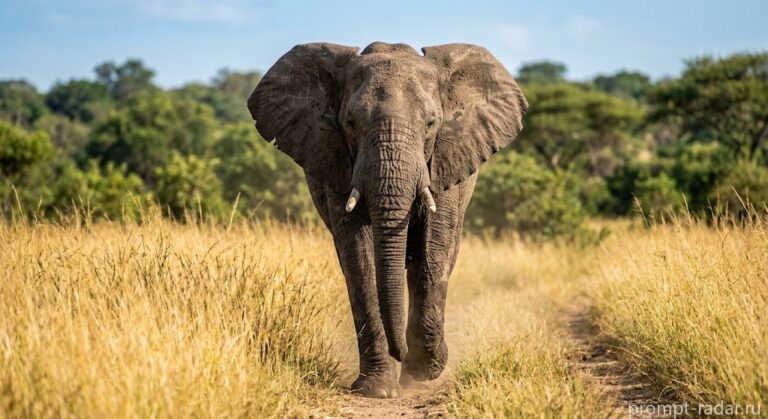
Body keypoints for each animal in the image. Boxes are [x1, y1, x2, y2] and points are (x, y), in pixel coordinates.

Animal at [247, 42, 527, 398]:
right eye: (350, 122)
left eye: (431, 123)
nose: (401, 354)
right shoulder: (337, 164)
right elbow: (358, 258)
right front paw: (378, 388)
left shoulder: (445, 160)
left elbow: (433, 249)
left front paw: (424, 369)